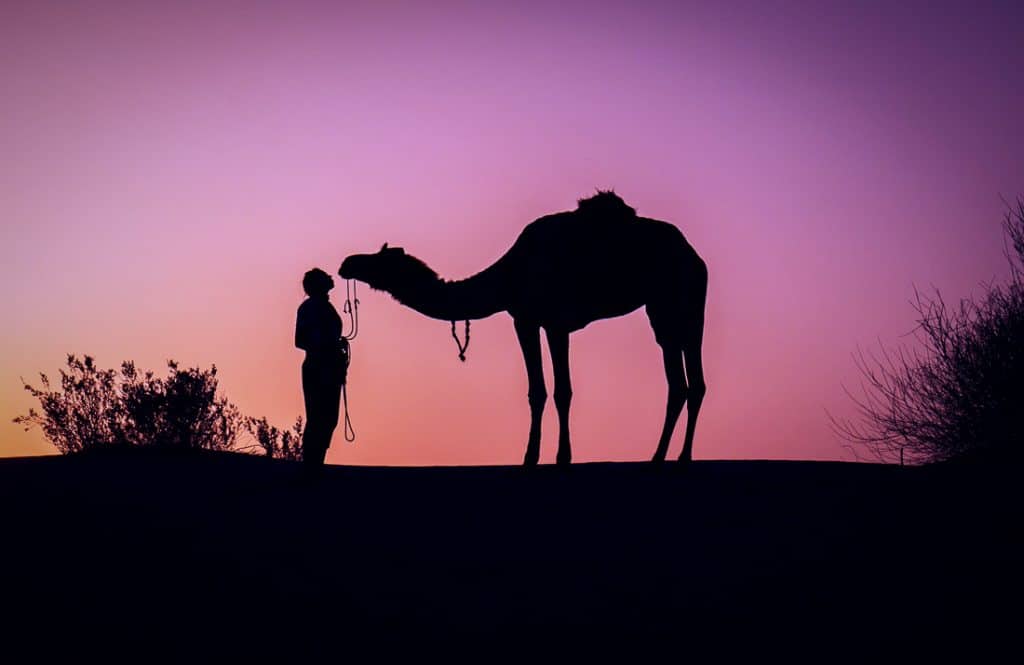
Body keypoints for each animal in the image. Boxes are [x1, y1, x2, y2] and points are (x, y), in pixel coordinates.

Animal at [339, 189, 708, 465]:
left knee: (683, 379)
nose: (347, 263)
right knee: (688, 382)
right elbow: (541, 390)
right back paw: (674, 456)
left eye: (380, 259)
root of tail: (694, 255)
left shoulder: (549, 322)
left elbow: (559, 391)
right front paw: (538, 456)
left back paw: (665, 457)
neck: (508, 276)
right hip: (676, 311)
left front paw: (552, 458)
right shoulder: (530, 321)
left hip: (674, 302)